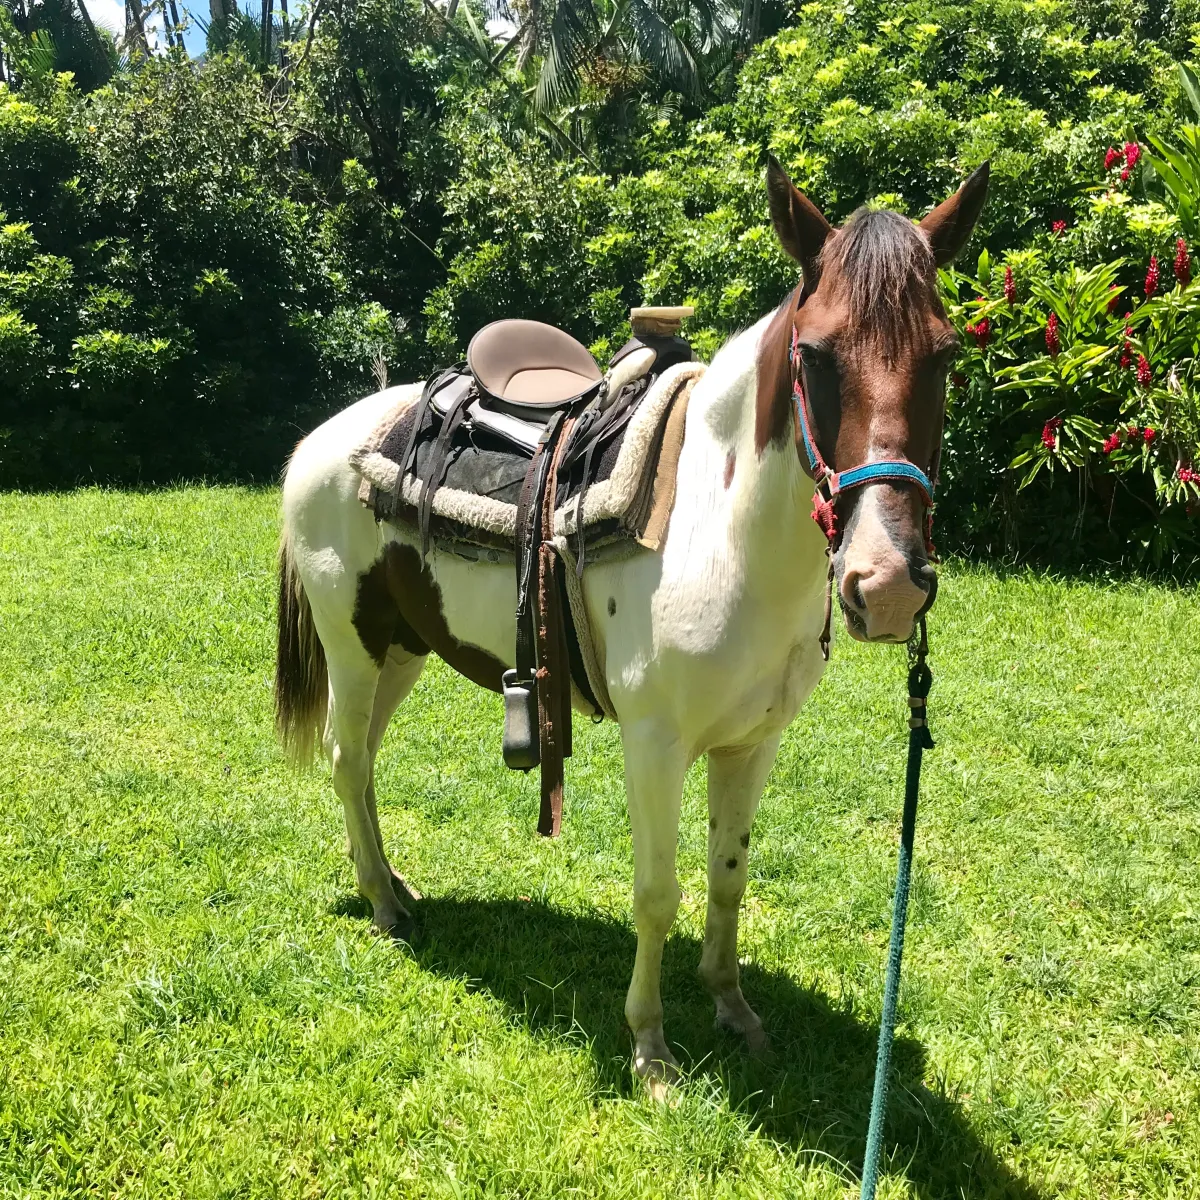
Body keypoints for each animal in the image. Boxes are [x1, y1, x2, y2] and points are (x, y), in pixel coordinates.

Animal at [274, 158, 989, 1091]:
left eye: (945, 354)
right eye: (816, 354)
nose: (890, 582)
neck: (720, 531)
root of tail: (321, 439)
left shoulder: (751, 744)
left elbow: (728, 877)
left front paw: (733, 1010)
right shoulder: (654, 743)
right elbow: (659, 894)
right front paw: (651, 1050)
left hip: (403, 650)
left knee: (359, 763)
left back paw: (392, 884)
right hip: (353, 646)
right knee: (347, 757)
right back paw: (385, 907)